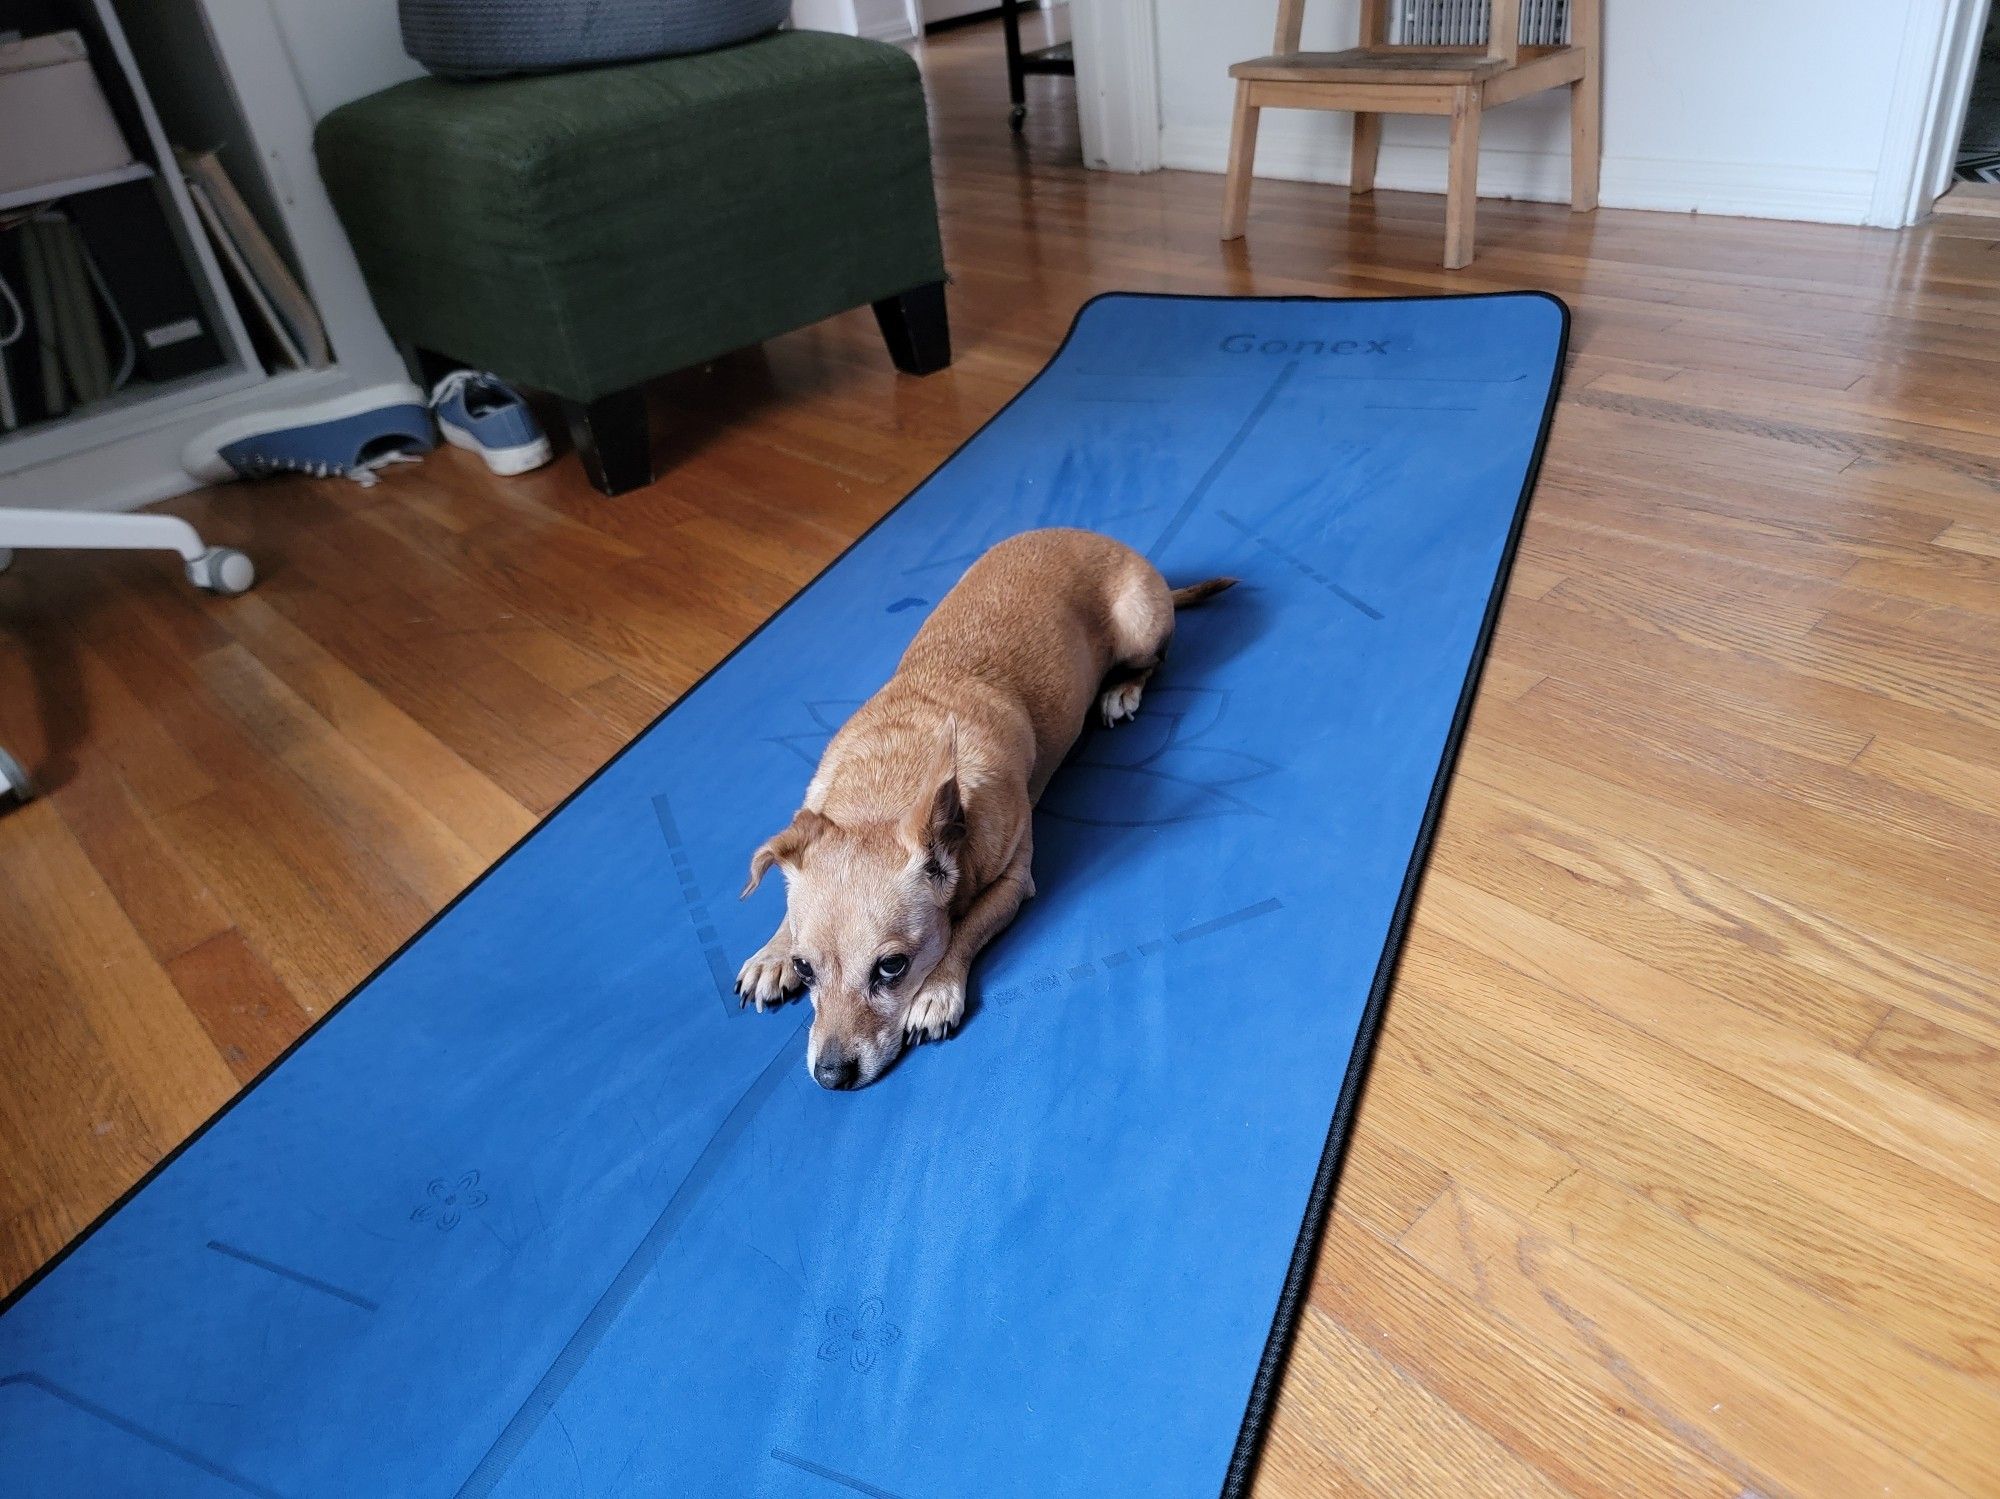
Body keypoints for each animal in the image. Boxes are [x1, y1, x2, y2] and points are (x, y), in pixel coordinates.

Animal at [740, 527, 1232, 1095]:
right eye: (805, 968)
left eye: (892, 967)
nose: (830, 1075)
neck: (885, 785)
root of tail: (1120, 548)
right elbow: (789, 906)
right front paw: (770, 953)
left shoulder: (1014, 882)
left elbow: (966, 927)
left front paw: (938, 989)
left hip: (1138, 627)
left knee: (1156, 662)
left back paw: (1121, 690)